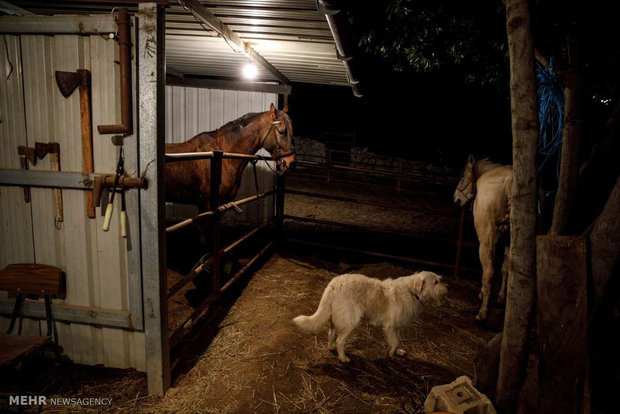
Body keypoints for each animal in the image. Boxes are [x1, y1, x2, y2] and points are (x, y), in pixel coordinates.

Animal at [294, 270, 448, 360]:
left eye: (440, 280)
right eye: (436, 282)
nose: (448, 288)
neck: (412, 292)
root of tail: (333, 285)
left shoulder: (396, 327)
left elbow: (398, 341)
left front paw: (398, 352)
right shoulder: (389, 327)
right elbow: (395, 342)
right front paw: (391, 354)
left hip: (335, 319)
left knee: (330, 334)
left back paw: (331, 348)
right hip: (350, 321)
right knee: (340, 341)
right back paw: (343, 358)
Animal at [452, 154, 512, 320]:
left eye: (462, 176)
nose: (455, 199)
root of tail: (509, 183)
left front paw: (482, 293)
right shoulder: (507, 241)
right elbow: (505, 268)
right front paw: (500, 298)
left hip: (486, 241)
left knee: (489, 272)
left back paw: (483, 314)